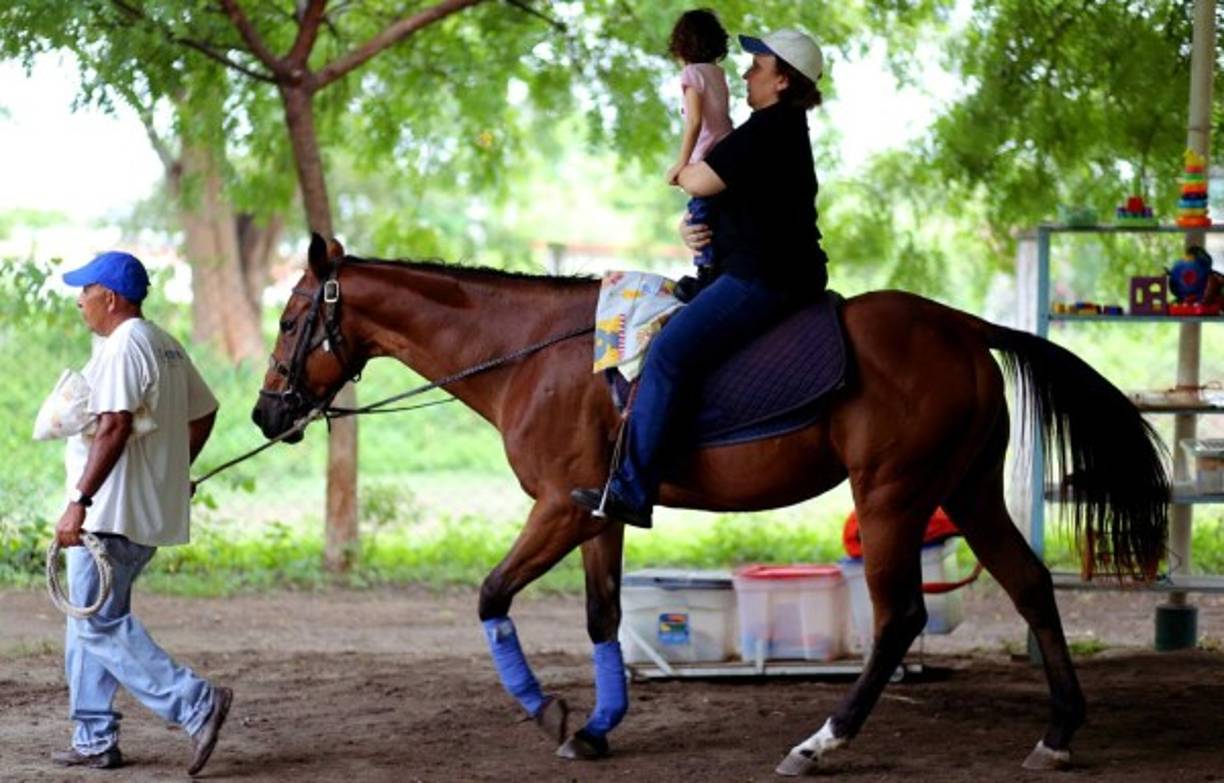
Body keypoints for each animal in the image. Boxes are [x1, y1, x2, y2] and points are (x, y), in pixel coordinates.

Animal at [252, 234, 1169, 775]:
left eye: (293, 319)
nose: (265, 413)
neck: (534, 356)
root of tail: (961, 325)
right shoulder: (599, 512)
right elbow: (601, 615)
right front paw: (596, 725)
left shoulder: (559, 509)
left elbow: (491, 594)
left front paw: (547, 711)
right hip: (965, 489)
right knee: (1030, 585)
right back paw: (1058, 731)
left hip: (893, 497)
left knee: (901, 615)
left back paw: (824, 739)